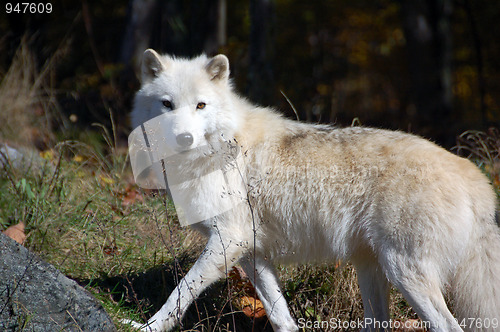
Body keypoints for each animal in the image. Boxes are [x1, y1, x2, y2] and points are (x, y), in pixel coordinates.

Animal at [129, 50, 500, 332]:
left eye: (201, 106)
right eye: (167, 104)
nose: (183, 138)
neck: (219, 149)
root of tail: (473, 175)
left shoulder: (227, 240)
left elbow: (179, 293)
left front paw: (147, 327)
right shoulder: (250, 251)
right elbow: (281, 316)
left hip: (405, 273)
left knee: (448, 326)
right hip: (372, 269)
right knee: (379, 323)